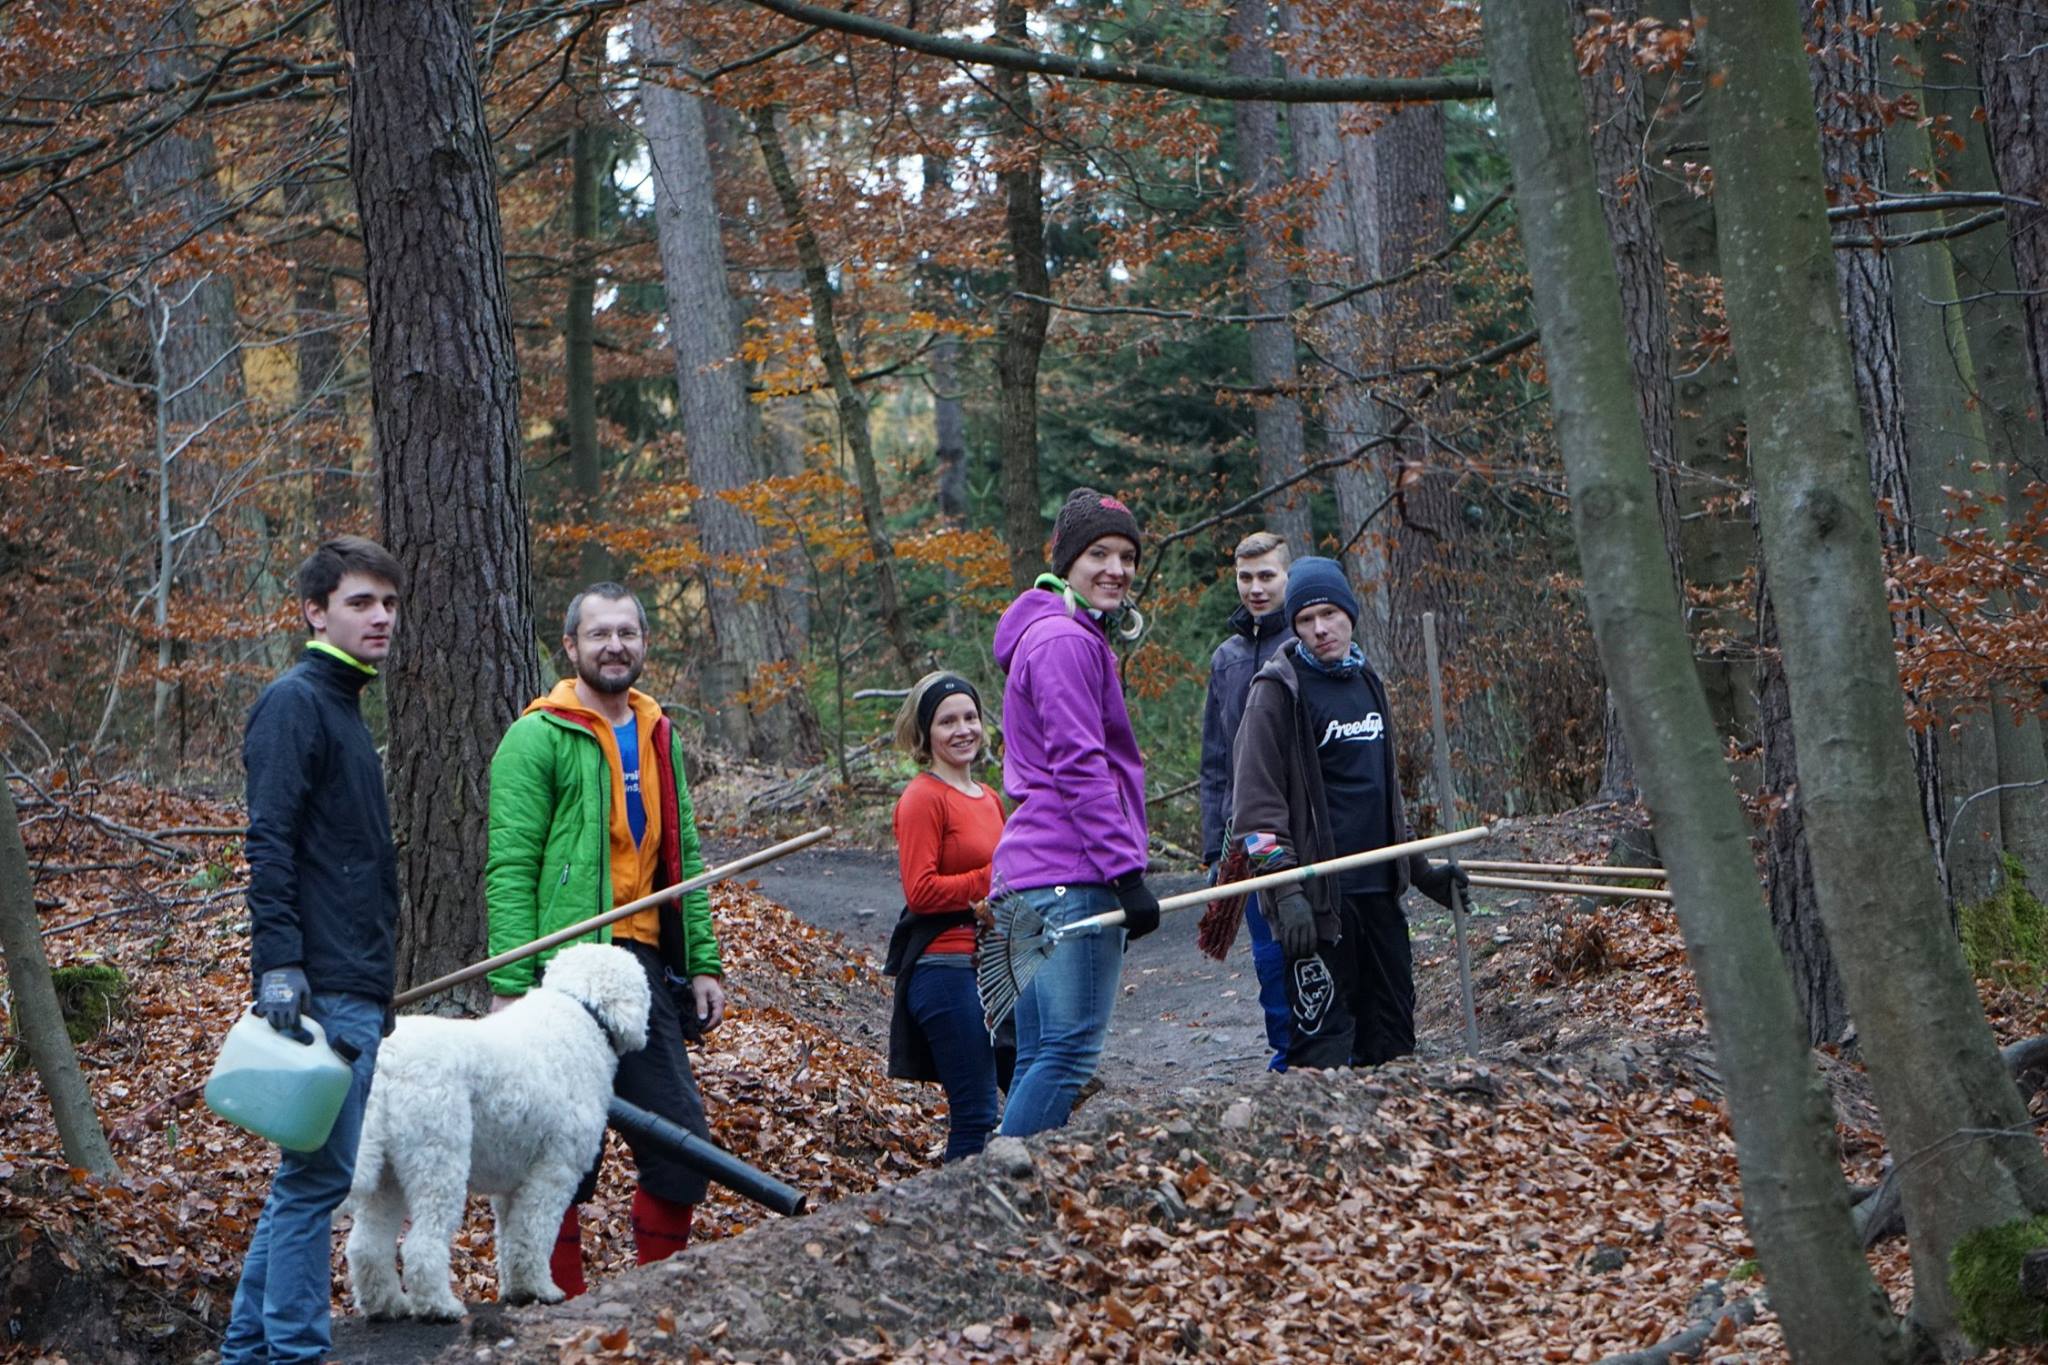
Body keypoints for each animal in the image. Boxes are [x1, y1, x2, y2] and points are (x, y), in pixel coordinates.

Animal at [342, 942, 650, 1321]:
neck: (580, 1010)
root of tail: (387, 1063)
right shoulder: (553, 1174)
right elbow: (533, 1234)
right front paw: (540, 1289)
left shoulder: (512, 1187)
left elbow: (512, 1240)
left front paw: (517, 1289)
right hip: (438, 1161)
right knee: (421, 1246)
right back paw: (440, 1306)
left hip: (387, 1175)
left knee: (366, 1246)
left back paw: (387, 1305)